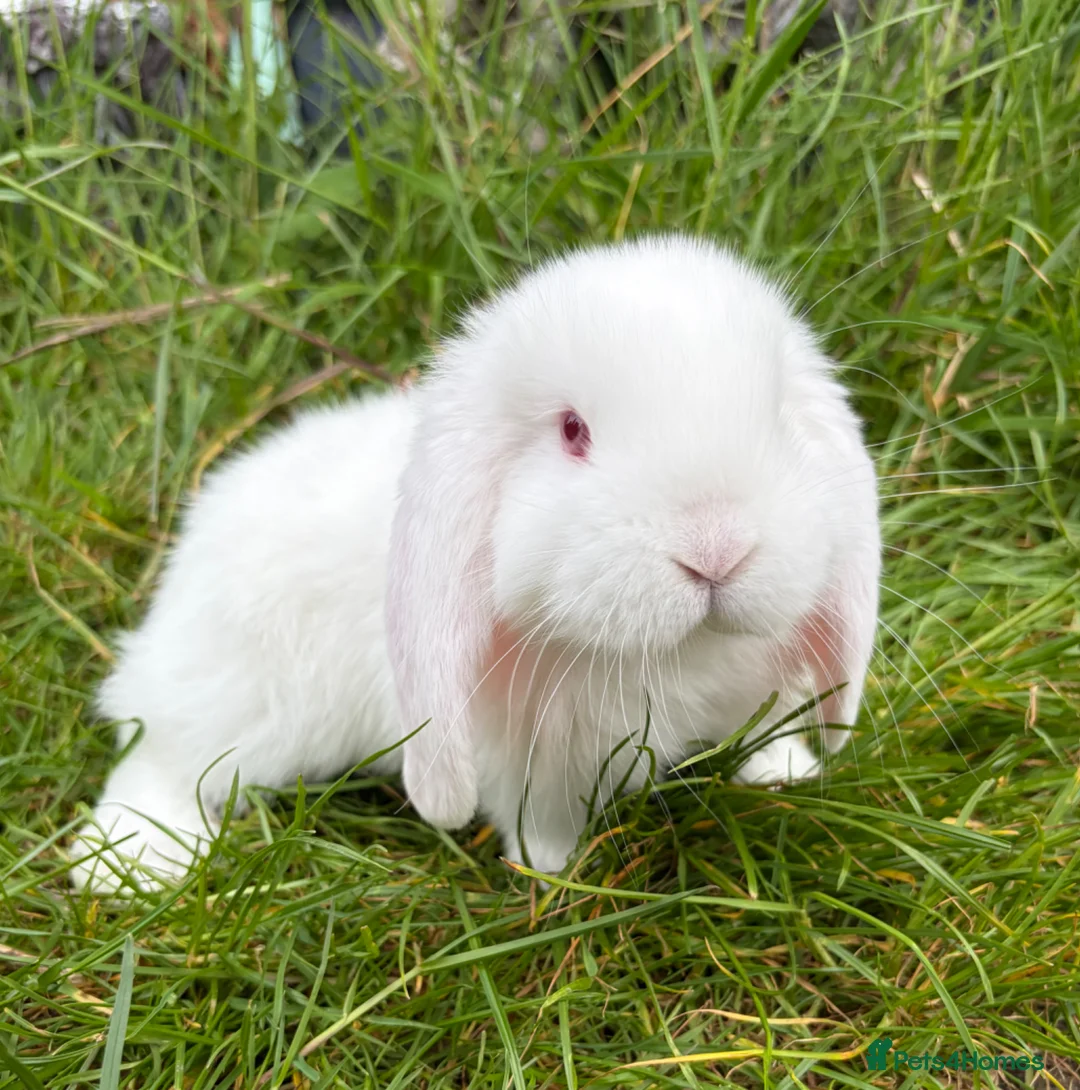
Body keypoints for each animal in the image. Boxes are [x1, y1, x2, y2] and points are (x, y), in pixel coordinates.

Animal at [70, 234, 880, 894]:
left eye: (777, 417)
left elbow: (768, 731)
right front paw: (558, 877)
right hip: (243, 702)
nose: (716, 548)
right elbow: (537, 820)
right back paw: (131, 862)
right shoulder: (524, 761)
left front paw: (789, 773)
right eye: (573, 431)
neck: (677, 655)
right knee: (161, 751)